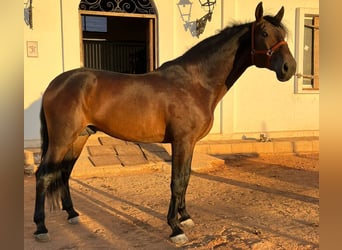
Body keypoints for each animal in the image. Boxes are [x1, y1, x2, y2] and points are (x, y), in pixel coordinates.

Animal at [34, 1, 296, 244]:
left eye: (283, 35)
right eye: (264, 33)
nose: (289, 68)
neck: (195, 83)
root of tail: (55, 84)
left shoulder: (190, 143)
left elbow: (187, 178)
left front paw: (185, 217)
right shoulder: (181, 141)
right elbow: (177, 182)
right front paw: (175, 228)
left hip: (79, 137)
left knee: (64, 173)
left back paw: (72, 214)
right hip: (61, 139)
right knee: (43, 175)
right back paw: (41, 228)